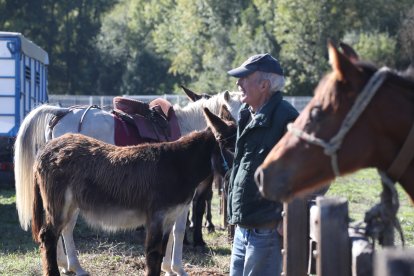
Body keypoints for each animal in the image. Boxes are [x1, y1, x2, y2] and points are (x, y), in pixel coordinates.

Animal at [13, 89, 243, 274]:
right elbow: (177, 232)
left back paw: (66, 264)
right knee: (62, 229)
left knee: (60, 229)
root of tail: (62, 113)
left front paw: (169, 267)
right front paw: (176, 268)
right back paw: (74, 266)